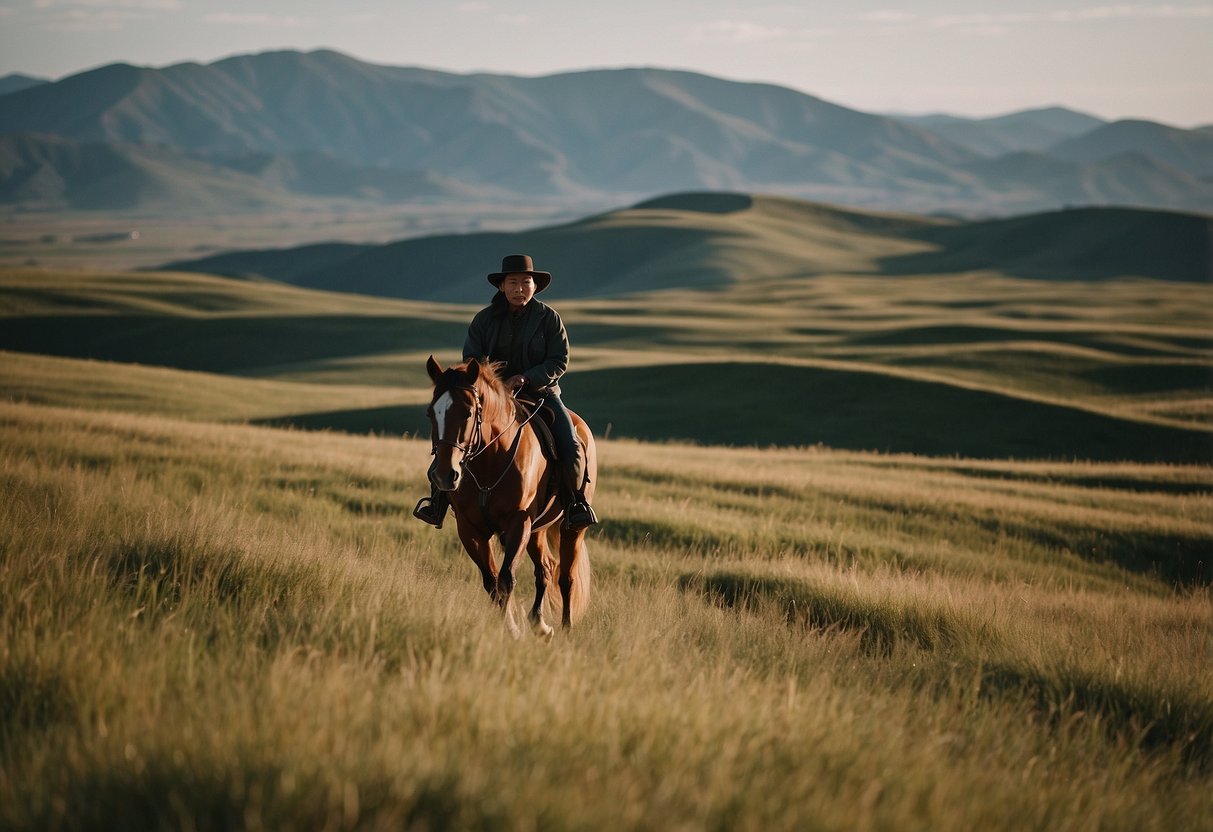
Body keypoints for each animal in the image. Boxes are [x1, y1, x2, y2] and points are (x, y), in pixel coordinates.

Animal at [426, 354, 596, 635]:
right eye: (430, 413)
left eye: (468, 412)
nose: (444, 475)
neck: (489, 461)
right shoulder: (469, 528)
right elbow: (491, 582)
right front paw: (510, 626)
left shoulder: (519, 521)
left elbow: (506, 579)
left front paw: (513, 631)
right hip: (537, 531)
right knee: (546, 568)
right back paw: (540, 623)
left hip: (571, 529)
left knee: (566, 576)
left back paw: (566, 628)